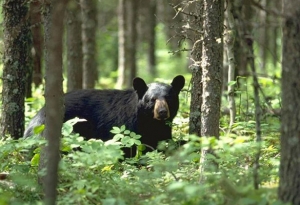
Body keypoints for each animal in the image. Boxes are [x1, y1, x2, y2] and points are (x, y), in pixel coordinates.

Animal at [24, 75, 185, 157]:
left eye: (169, 98)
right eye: (152, 99)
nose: (162, 112)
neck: (149, 122)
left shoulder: (162, 130)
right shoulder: (127, 127)